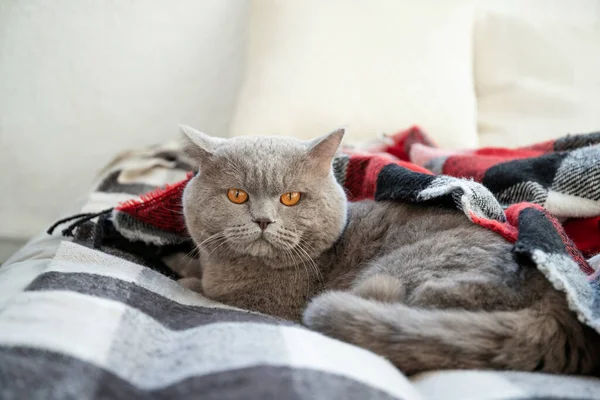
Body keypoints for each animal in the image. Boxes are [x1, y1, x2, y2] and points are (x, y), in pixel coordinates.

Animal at [179, 125, 600, 376]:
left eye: (291, 198)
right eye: (237, 195)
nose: (263, 220)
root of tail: (557, 311)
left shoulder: (267, 301)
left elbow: (206, 290)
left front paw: (186, 279)